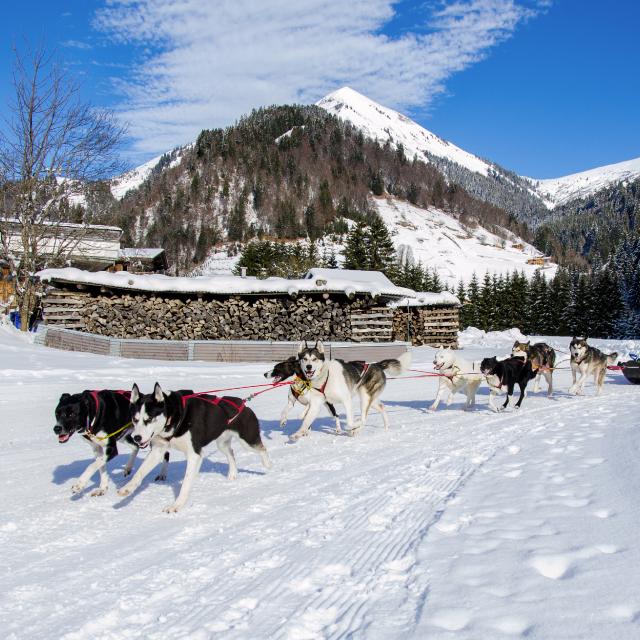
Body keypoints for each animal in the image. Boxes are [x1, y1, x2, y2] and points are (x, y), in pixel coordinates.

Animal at [119, 382, 272, 512]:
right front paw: (127, 489)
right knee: (231, 453)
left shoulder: (194, 454)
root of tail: (244, 405)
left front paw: (176, 505)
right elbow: (140, 472)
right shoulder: (158, 450)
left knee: (262, 449)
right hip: (222, 444)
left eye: (149, 419)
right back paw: (233, 474)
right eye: (135, 419)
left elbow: (186, 483)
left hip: (248, 441)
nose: (136, 438)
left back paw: (268, 465)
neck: (176, 417)